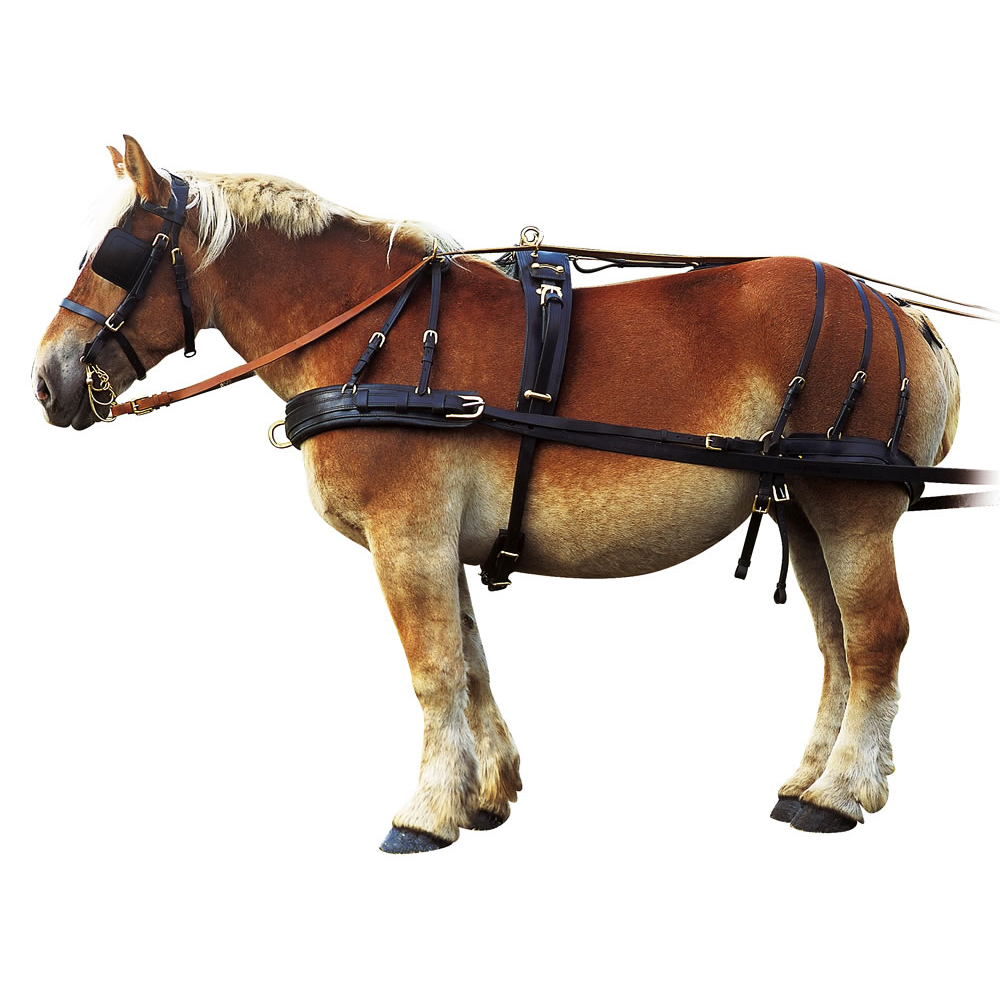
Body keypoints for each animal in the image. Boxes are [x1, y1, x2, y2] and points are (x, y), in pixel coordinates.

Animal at [32, 136, 963, 852]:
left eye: (113, 253)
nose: (48, 380)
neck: (377, 335)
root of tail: (903, 316)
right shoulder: (437, 540)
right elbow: (471, 660)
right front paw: (484, 794)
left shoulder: (406, 535)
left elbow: (434, 669)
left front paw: (424, 813)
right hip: (803, 507)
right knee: (837, 646)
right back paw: (811, 779)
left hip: (849, 506)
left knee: (877, 638)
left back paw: (840, 794)